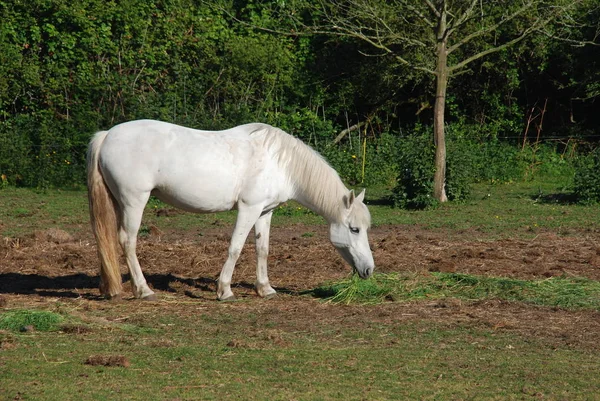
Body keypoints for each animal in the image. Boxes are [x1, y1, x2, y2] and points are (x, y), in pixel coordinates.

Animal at [86, 119, 372, 300]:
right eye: (354, 229)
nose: (369, 270)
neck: (280, 162)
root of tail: (108, 134)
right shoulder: (249, 209)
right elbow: (235, 247)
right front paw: (225, 290)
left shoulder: (265, 212)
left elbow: (262, 249)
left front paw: (265, 289)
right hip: (134, 202)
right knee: (127, 241)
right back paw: (143, 291)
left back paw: (111, 289)